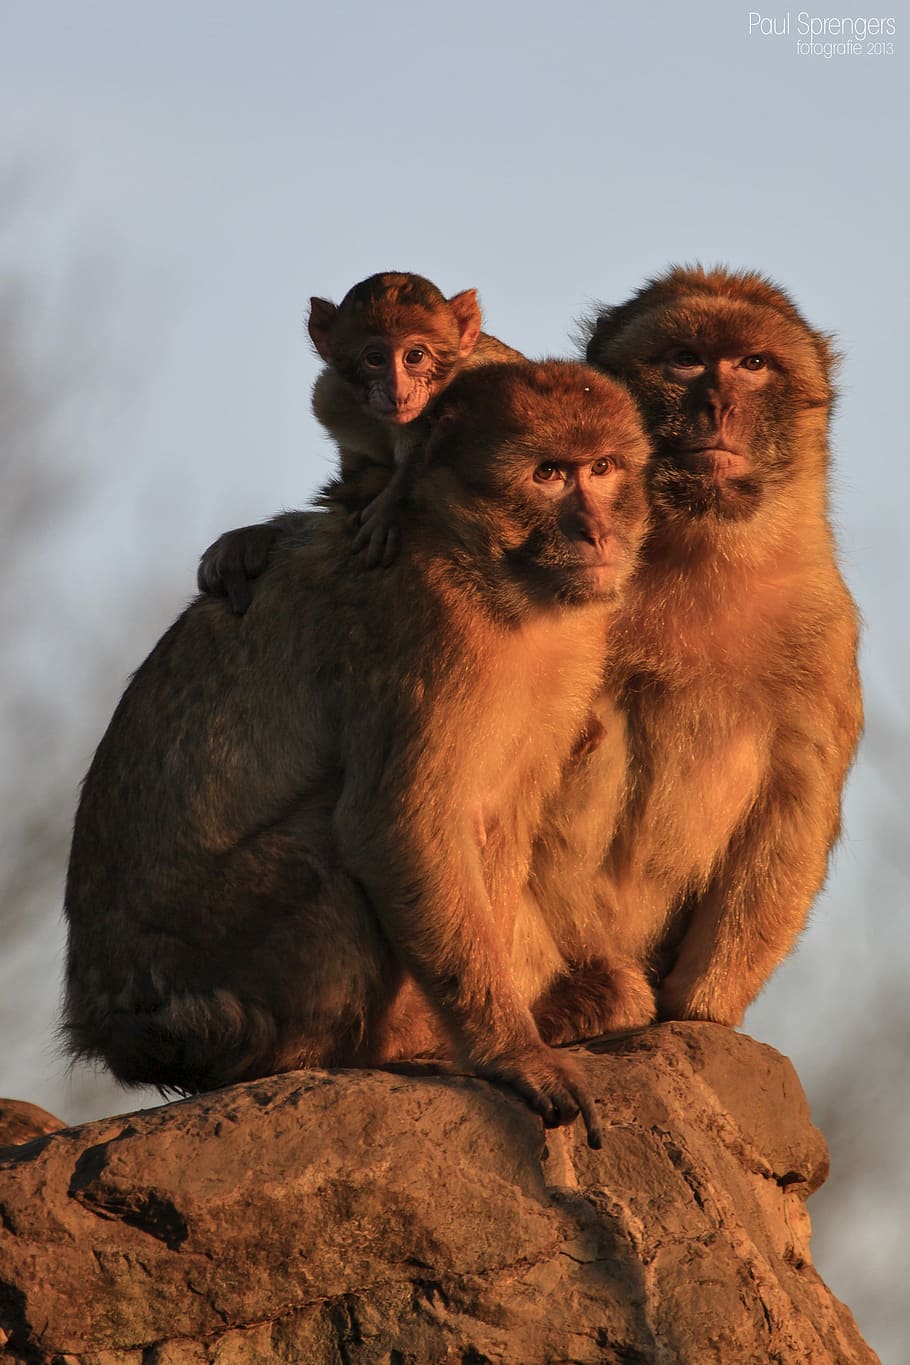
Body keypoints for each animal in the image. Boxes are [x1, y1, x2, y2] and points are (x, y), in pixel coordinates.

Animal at [62, 359, 652, 1147]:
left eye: (605, 468)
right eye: (550, 474)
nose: (596, 531)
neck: (481, 561)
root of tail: (105, 1026)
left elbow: (499, 823)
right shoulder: (429, 626)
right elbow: (395, 827)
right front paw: (512, 1051)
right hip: (192, 960)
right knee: (323, 854)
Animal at [583, 264, 863, 1026]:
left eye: (753, 365)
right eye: (685, 359)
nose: (718, 403)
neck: (698, 552)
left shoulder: (823, 629)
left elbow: (794, 804)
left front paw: (703, 1009)